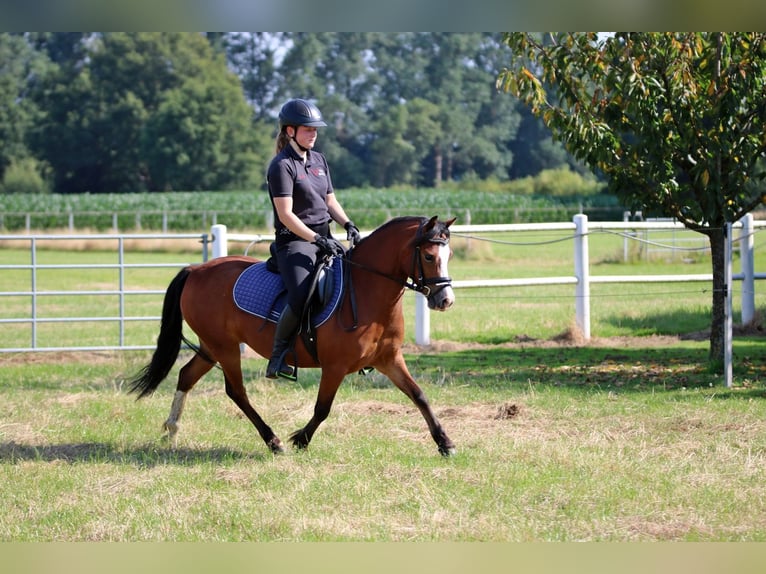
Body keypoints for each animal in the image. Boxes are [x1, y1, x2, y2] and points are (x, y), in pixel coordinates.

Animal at [129, 216, 460, 460]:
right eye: (429, 256)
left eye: (450, 255)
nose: (445, 300)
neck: (368, 290)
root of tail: (197, 269)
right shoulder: (335, 367)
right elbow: (323, 408)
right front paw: (300, 439)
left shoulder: (389, 359)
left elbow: (419, 395)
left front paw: (445, 442)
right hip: (225, 348)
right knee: (237, 391)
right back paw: (272, 440)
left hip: (211, 346)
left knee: (186, 375)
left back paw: (172, 430)